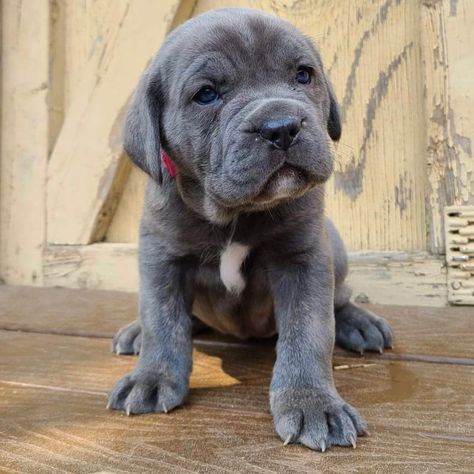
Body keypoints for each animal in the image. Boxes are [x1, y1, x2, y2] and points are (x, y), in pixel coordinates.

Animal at [108, 8, 392, 452]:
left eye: (304, 75)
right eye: (206, 95)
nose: (282, 126)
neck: (234, 213)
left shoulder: (304, 258)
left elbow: (310, 331)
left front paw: (312, 403)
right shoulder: (161, 257)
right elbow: (162, 320)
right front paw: (151, 377)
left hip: (337, 247)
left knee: (339, 298)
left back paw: (359, 323)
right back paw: (136, 333)